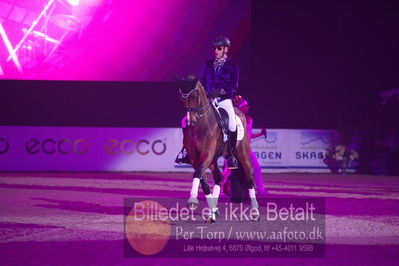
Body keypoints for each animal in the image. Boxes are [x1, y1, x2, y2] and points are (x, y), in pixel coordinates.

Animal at [175, 74, 260, 222]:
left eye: (194, 96)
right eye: (181, 98)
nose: (190, 121)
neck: (200, 125)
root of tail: (240, 113)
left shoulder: (207, 155)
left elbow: (197, 174)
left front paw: (192, 201)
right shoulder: (195, 158)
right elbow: (202, 180)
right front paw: (210, 210)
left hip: (242, 153)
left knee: (249, 176)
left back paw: (255, 212)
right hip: (213, 160)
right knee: (219, 177)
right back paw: (213, 211)